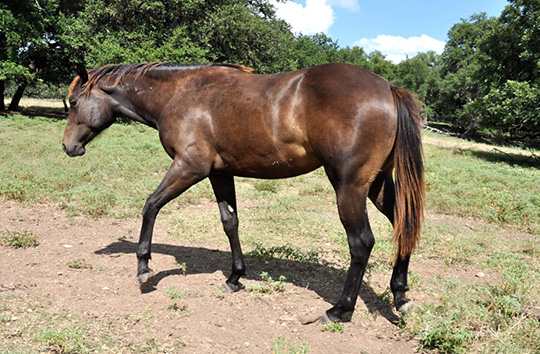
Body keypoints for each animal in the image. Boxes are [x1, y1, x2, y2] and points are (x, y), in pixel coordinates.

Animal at [63, 62, 424, 322]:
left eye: (74, 102)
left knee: (361, 242)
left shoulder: (189, 167)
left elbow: (150, 206)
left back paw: (339, 309)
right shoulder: (220, 173)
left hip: (349, 187)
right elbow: (230, 222)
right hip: (376, 184)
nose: (68, 147)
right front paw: (235, 277)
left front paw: (143, 268)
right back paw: (400, 296)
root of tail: (388, 88)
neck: (180, 93)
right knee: (402, 226)